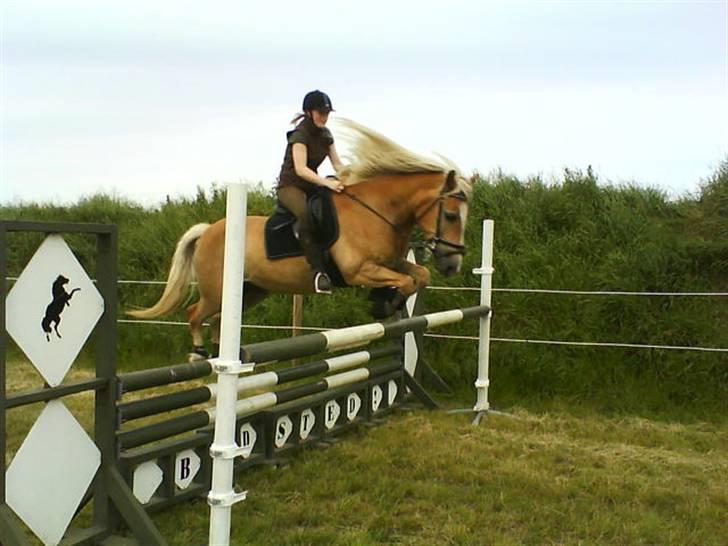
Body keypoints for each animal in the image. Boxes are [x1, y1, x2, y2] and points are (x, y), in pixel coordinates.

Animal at [128, 118, 472, 356]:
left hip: (250, 291)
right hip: (217, 290)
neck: (376, 211)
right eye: (451, 216)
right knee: (195, 314)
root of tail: (209, 229)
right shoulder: (359, 271)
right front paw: (385, 304)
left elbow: (420, 275)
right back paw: (199, 353)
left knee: (218, 320)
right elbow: (405, 282)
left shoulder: (392, 262)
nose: (453, 265)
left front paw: (385, 302)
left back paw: (218, 352)